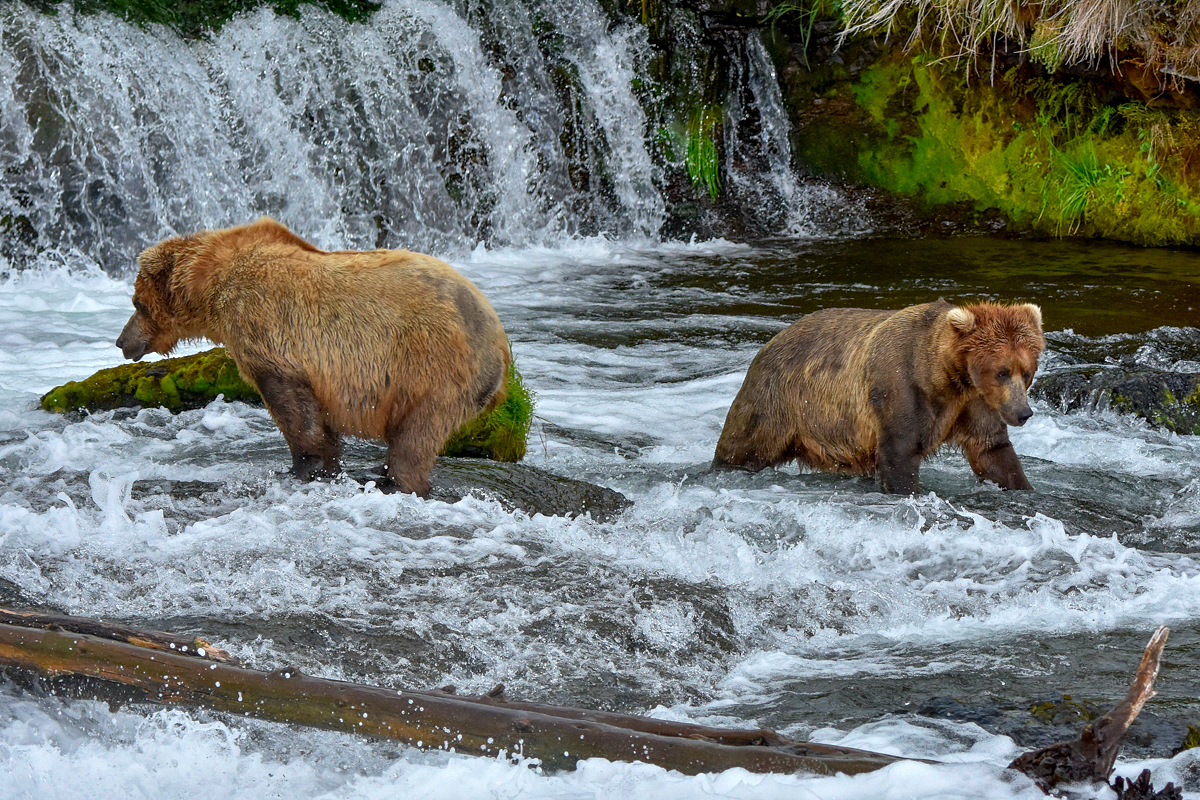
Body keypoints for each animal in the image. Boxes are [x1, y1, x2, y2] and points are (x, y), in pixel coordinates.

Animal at [112, 215, 506, 496]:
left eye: (136, 302)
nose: (121, 341)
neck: (210, 287)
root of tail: (499, 342)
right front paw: (327, 465)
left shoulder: (267, 332)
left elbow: (293, 408)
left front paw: (303, 467)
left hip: (433, 369)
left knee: (417, 435)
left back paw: (394, 481)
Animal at [710, 299, 1041, 494]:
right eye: (1001, 371)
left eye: (1026, 372)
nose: (1023, 413)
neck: (946, 377)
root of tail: (771, 341)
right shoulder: (901, 387)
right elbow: (899, 453)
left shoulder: (975, 402)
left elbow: (992, 450)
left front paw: (1022, 487)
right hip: (777, 401)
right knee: (744, 446)